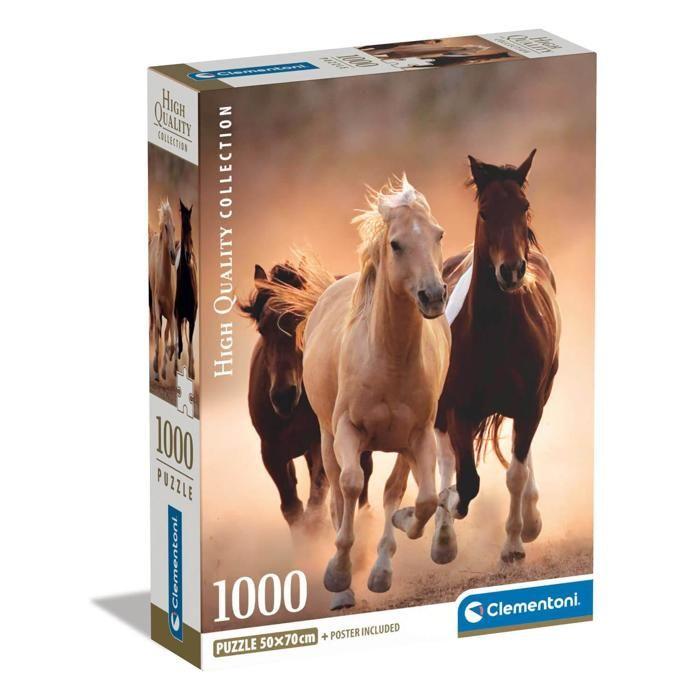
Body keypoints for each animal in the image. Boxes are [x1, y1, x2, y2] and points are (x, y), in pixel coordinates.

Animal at [239, 262, 373, 554]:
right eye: (262, 329)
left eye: (302, 321)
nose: (283, 396)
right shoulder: (272, 452)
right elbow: (292, 508)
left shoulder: (320, 443)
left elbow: (315, 506)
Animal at [264, 175, 451, 607]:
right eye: (396, 243)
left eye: (438, 234)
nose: (434, 295)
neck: (389, 359)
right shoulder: (347, 431)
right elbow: (349, 487)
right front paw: (338, 574)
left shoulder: (418, 436)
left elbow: (419, 498)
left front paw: (392, 548)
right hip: (326, 438)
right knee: (337, 492)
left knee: (392, 490)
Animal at [435, 149, 561, 564]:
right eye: (486, 211)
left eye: (524, 206)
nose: (511, 270)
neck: (495, 334)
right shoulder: (458, 408)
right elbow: (466, 481)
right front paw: (445, 513)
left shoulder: (529, 405)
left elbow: (515, 474)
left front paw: (514, 544)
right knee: (445, 458)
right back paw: (442, 537)